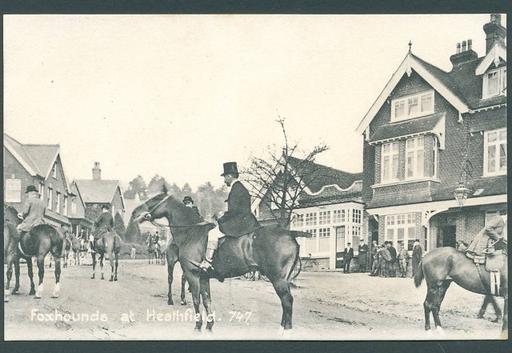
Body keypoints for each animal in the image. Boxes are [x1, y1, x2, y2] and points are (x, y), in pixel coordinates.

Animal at [130, 191, 310, 332]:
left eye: (154, 199)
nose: (134, 213)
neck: (191, 231)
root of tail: (289, 233)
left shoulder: (192, 275)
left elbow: (196, 300)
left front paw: (198, 326)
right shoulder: (203, 277)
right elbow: (206, 300)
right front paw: (209, 325)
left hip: (278, 279)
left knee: (287, 302)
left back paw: (285, 331)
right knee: (286, 304)